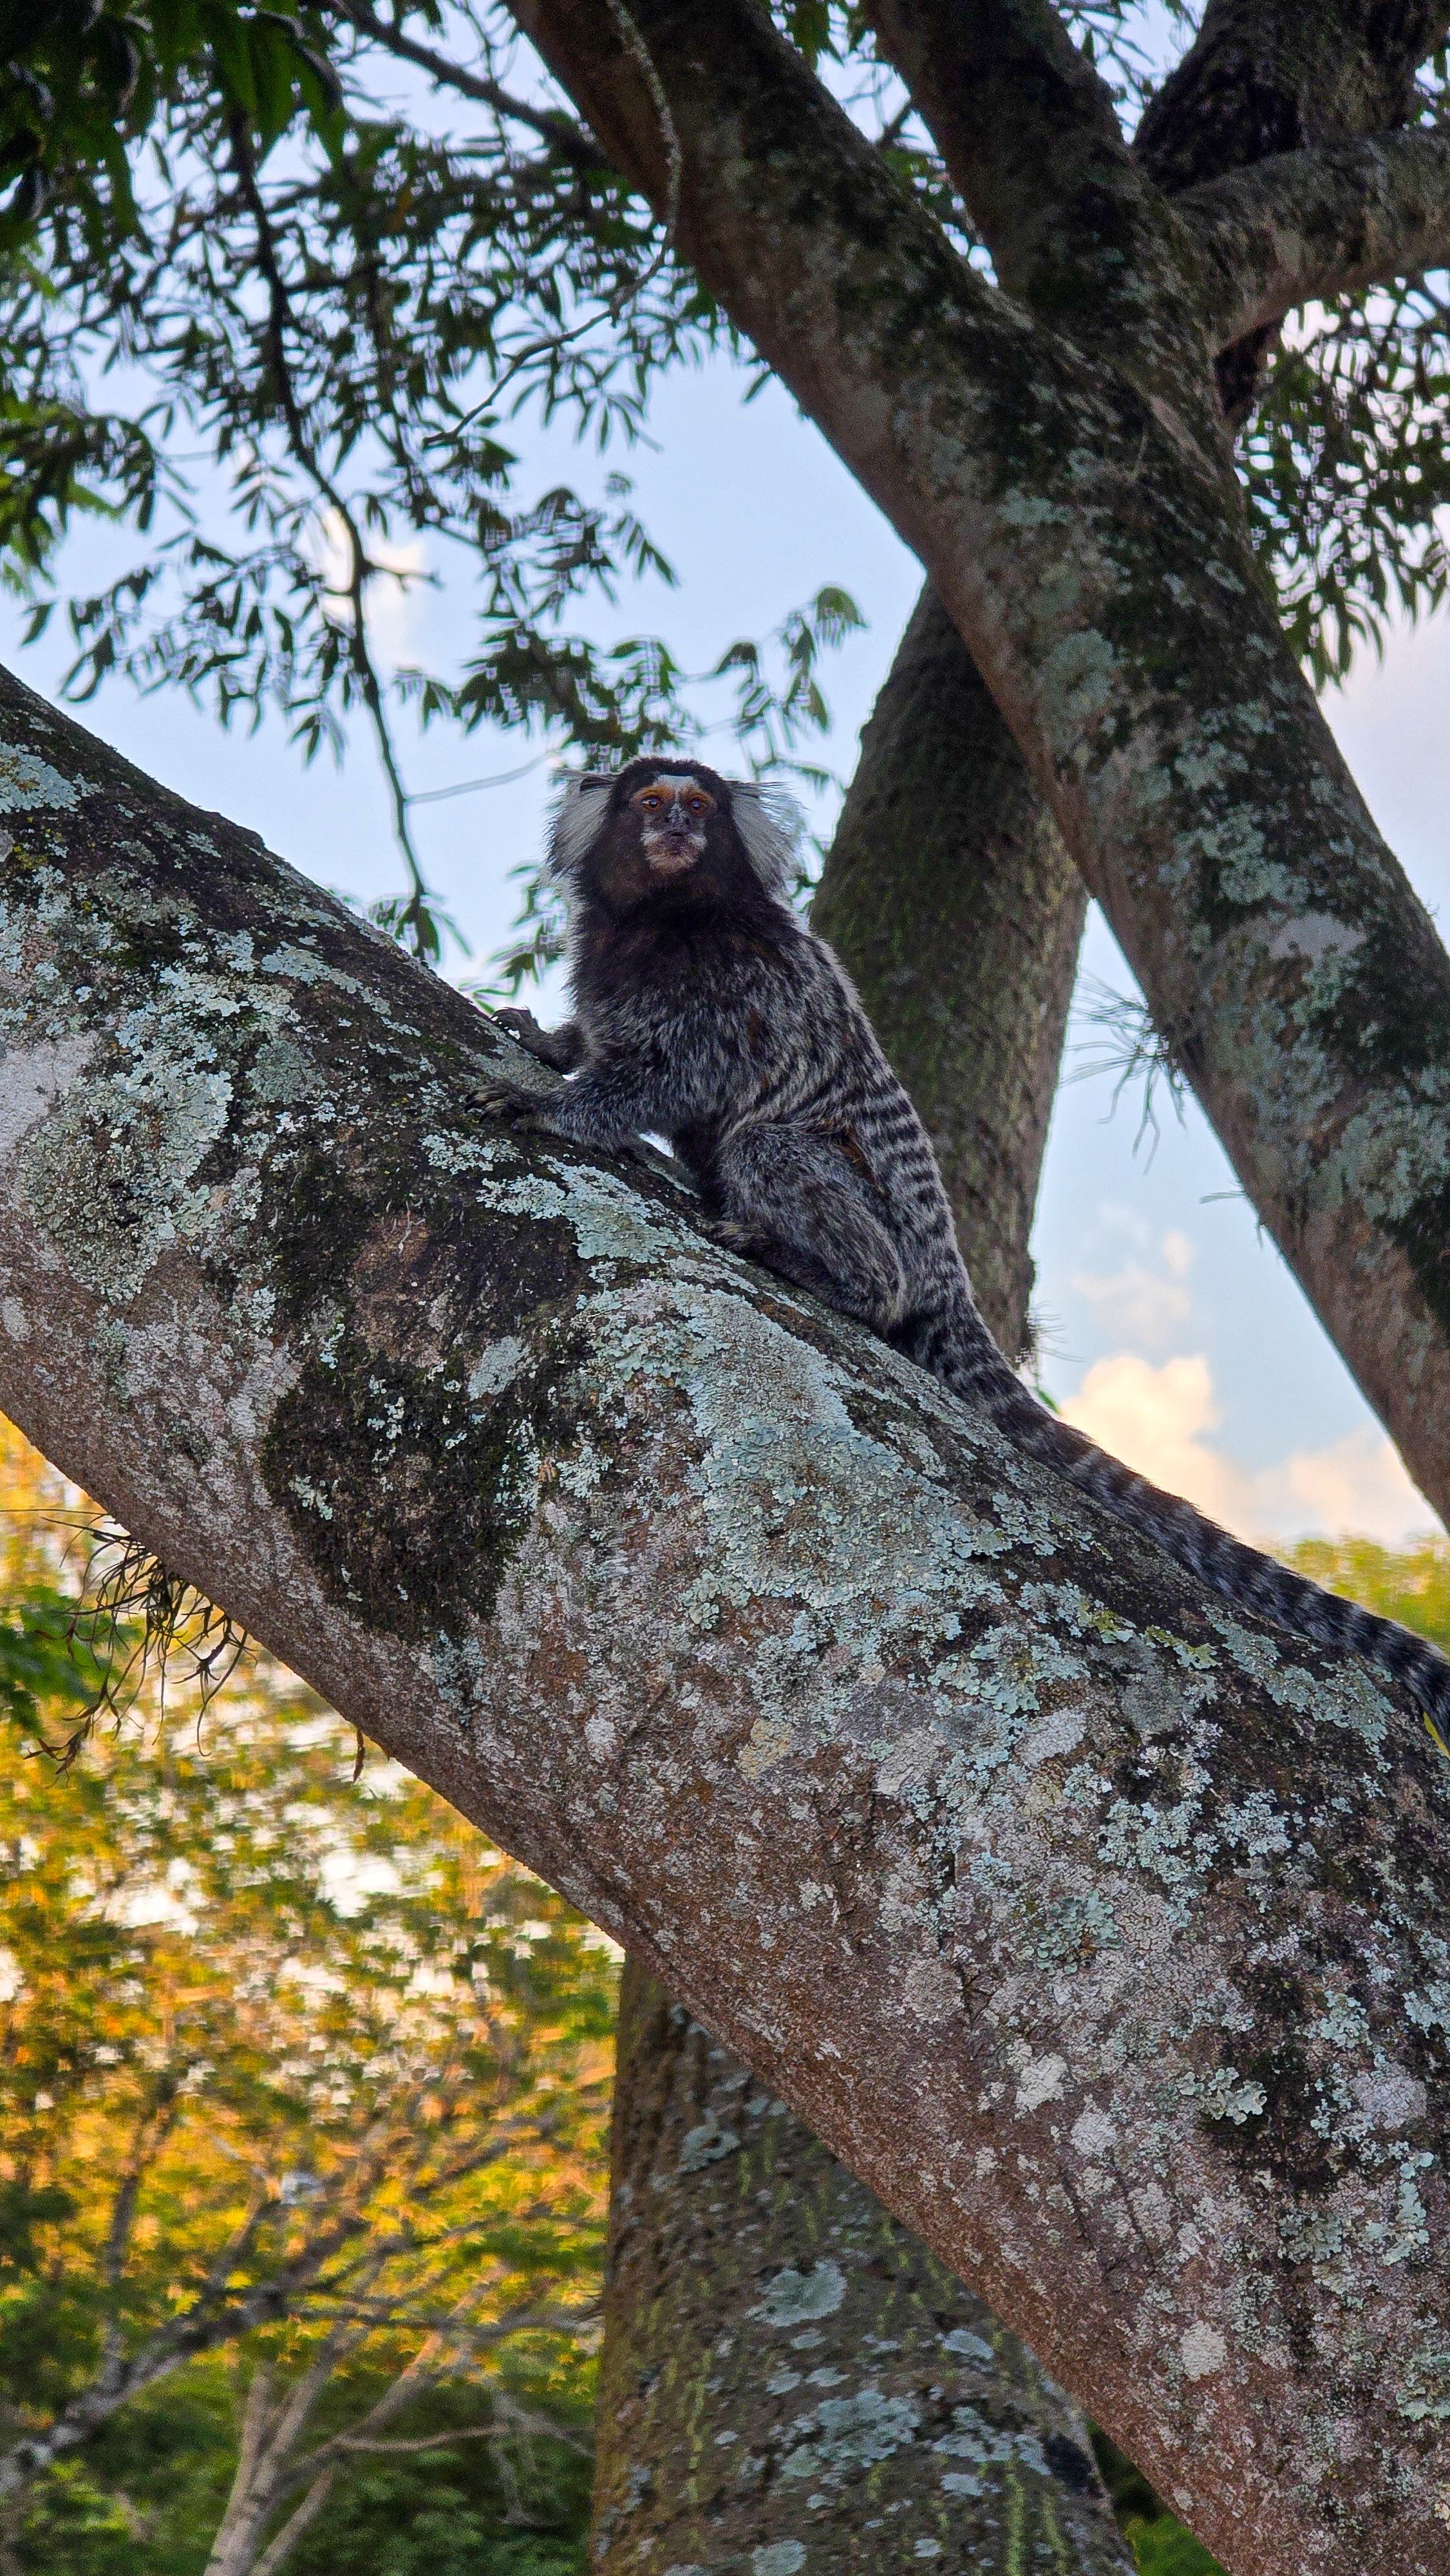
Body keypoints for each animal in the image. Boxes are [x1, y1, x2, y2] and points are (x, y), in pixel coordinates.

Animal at [471, 752, 1450, 1730]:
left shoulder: (729, 995)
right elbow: (597, 1041)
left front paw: (555, 1106)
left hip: (881, 1225)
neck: (666, 921)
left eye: (697, 808)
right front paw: (550, 1046)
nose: (675, 830)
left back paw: (833, 1277)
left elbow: (667, 1081)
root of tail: (949, 1270)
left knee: (768, 1152)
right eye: (649, 804)